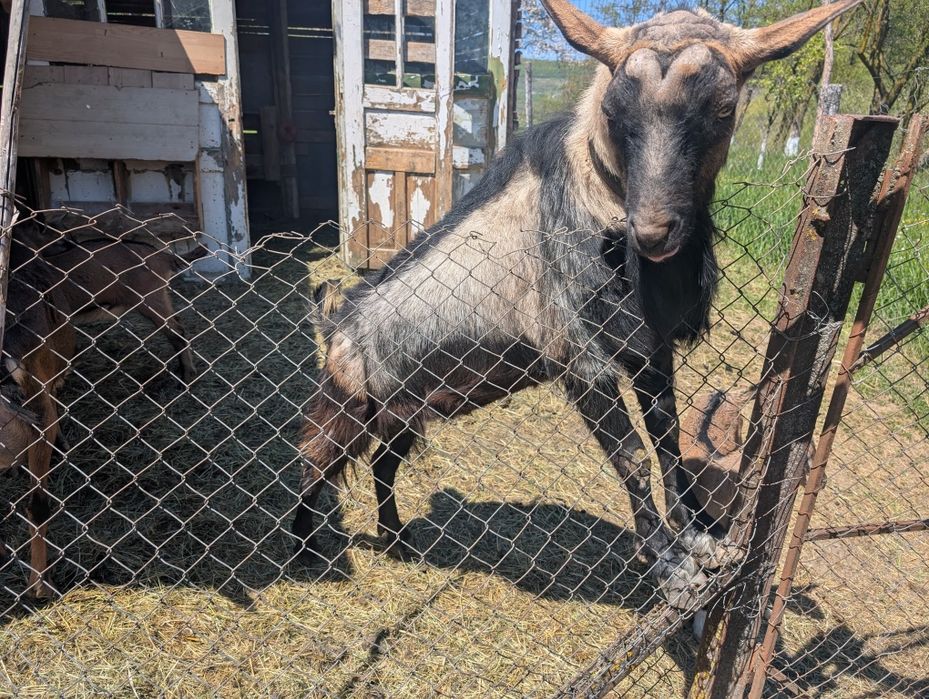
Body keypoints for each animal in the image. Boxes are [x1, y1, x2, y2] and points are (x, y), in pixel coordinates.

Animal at [293, 0, 864, 607]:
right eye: (614, 108)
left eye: (725, 107)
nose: (652, 232)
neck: (597, 196)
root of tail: (336, 322)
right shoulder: (583, 360)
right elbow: (633, 455)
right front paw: (671, 569)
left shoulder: (649, 350)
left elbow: (666, 439)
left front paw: (700, 539)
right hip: (347, 403)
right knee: (314, 459)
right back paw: (306, 549)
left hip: (405, 411)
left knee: (382, 464)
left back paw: (398, 540)